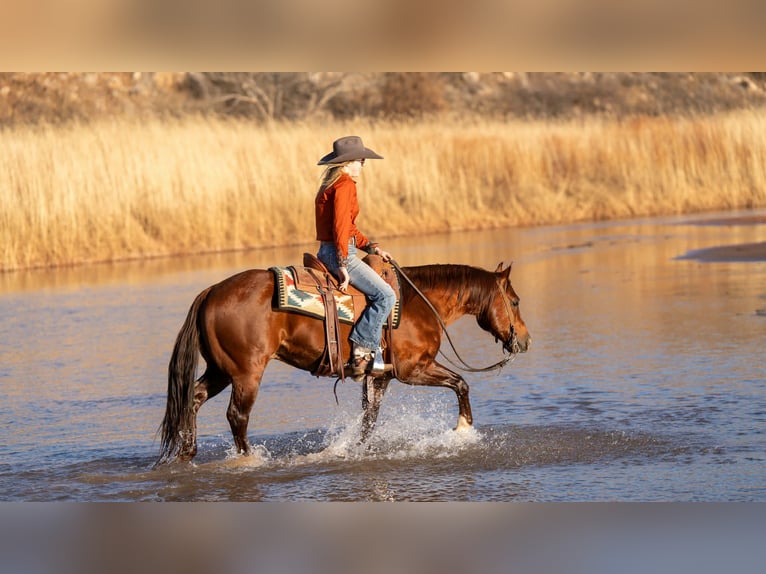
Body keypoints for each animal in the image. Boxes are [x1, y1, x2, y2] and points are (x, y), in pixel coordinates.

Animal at [157, 256, 530, 464]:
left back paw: (187, 454)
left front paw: (352, 450)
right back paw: (249, 459)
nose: (525, 340)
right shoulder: (413, 369)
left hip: (221, 370)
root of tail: (211, 292)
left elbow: (368, 420)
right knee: (237, 416)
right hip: (246, 373)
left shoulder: (381, 377)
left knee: (193, 399)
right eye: (514, 301)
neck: (420, 303)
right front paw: (463, 428)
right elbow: (461, 383)